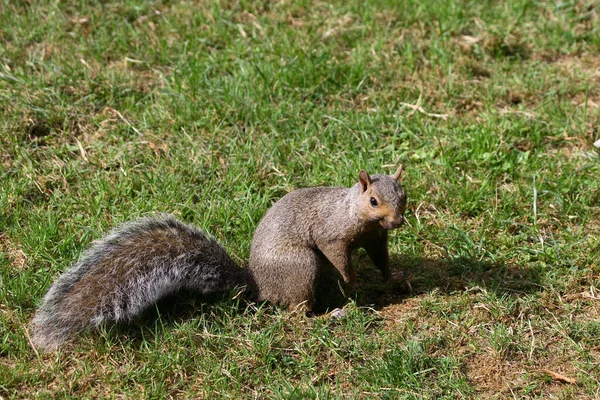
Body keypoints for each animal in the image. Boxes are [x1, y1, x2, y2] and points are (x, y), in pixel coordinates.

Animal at [31, 165, 408, 350]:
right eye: (374, 200)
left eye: (403, 194)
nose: (398, 221)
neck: (355, 213)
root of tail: (258, 286)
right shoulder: (331, 233)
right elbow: (338, 255)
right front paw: (352, 280)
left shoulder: (376, 239)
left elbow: (381, 257)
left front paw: (393, 278)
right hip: (303, 265)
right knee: (296, 312)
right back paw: (331, 314)